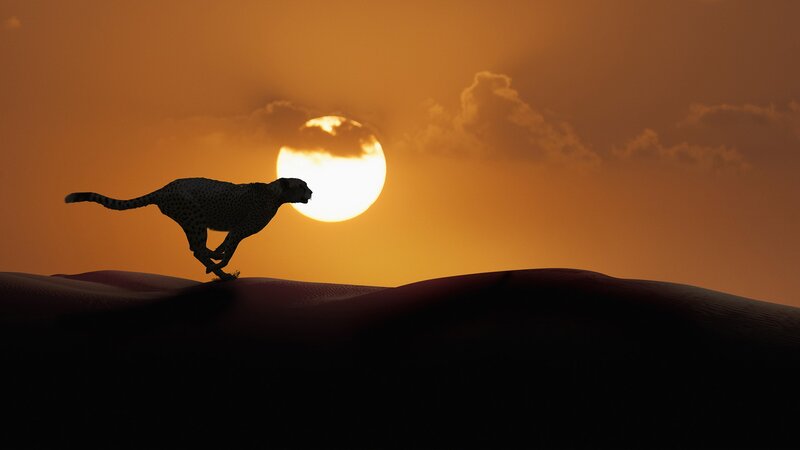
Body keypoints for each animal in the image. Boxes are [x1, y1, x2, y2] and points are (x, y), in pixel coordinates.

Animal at [65, 177, 313, 281]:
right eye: (302, 185)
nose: (311, 192)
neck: (276, 194)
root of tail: (164, 188)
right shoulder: (241, 229)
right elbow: (230, 250)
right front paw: (221, 263)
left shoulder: (235, 230)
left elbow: (227, 243)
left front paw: (219, 253)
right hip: (195, 218)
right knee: (197, 249)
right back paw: (221, 274)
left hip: (191, 221)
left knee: (198, 249)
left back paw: (216, 266)